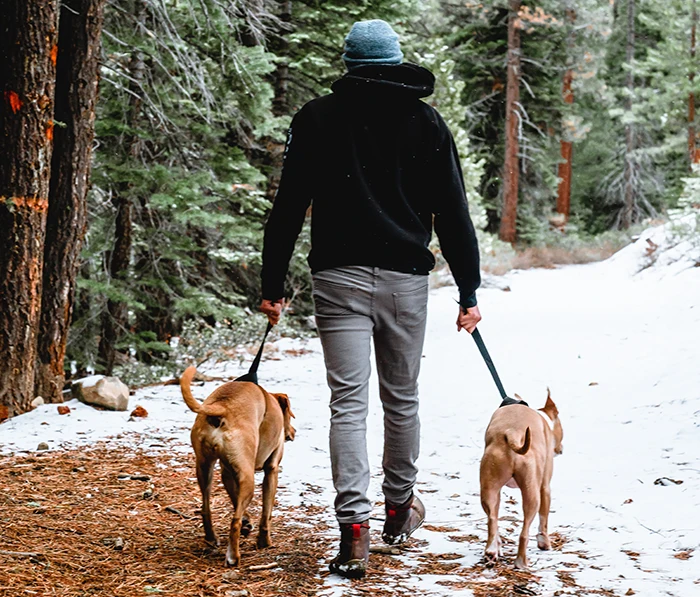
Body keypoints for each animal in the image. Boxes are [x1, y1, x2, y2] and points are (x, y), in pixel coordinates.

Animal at [180, 366, 296, 564]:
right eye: (289, 415)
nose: (293, 432)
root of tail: (222, 407)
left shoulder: (227, 473)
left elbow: (235, 499)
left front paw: (248, 522)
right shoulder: (271, 470)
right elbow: (266, 513)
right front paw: (264, 541)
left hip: (204, 468)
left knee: (206, 508)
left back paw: (212, 538)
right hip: (248, 478)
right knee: (234, 521)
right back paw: (233, 556)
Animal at [482, 392, 564, 568]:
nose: (561, 449)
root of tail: (512, 434)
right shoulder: (545, 488)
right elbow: (543, 520)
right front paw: (544, 543)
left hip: (489, 486)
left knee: (492, 519)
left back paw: (492, 550)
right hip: (533, 494)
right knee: (524, 532)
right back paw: (521, 562)